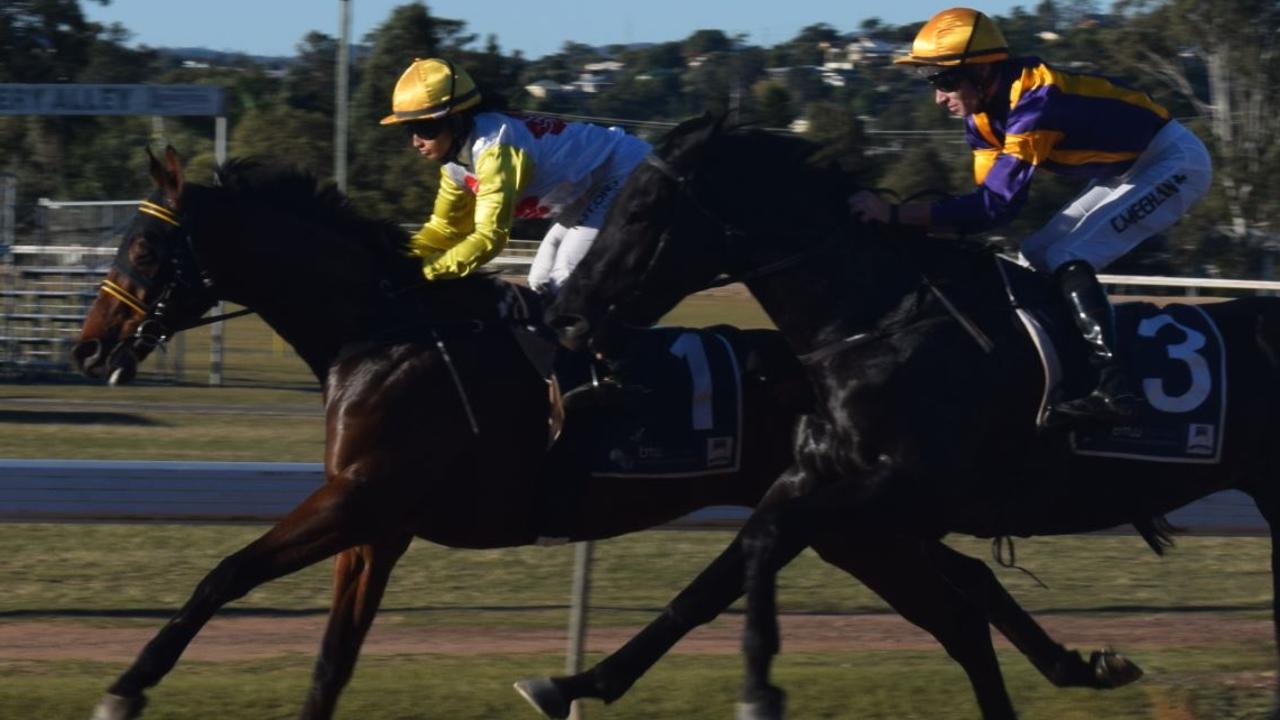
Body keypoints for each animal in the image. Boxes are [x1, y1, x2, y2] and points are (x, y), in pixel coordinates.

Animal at [72, 147, 1131, 717]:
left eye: (145, 247)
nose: (88, 349)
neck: (381, 336)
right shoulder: (376, 524)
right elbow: (332, 655)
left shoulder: (359, 498)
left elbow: (224, 574)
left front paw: (126, 684)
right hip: (857, 520)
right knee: (967, 592)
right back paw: (1084, 663)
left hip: (855, 522)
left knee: (957, 607)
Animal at [550, 113, 1280, 717]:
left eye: (641, 210)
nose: (569, 315)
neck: (876, 324)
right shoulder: (816, 479)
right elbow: (715, 579)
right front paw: (579, 682)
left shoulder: (906, 485)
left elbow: (764, 544)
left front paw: (759, 685)